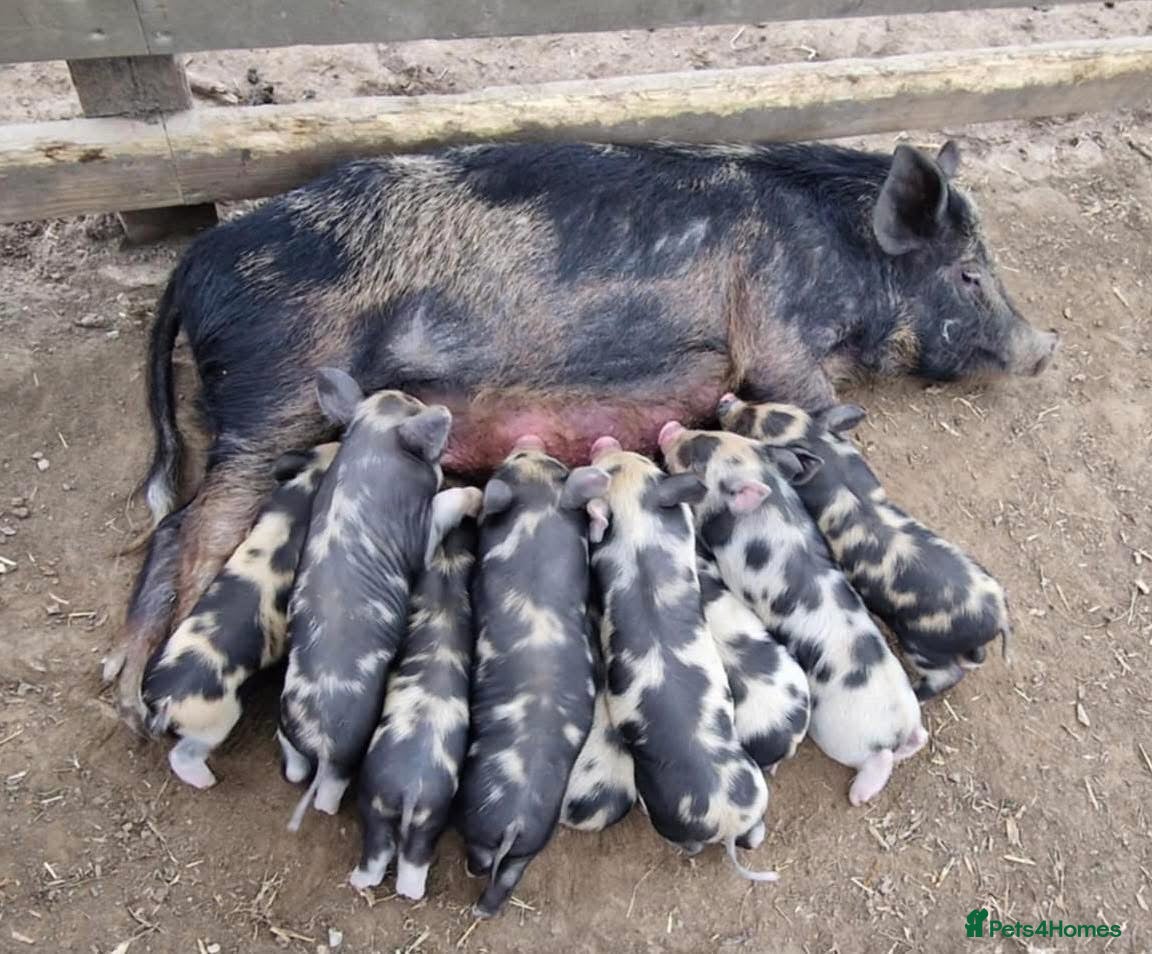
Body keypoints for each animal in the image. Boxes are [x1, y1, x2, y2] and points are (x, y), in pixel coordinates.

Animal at [142, 442, 339, 789]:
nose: (338, 442)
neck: (301, 496)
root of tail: (163, 705)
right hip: (217, 720)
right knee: (184, 754)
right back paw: (207, 781)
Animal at [278, 369, 479, 829]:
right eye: (414, 404)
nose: (440, 408)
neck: (371, 445)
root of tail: (320, 738)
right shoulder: (419, 532)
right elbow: (444, 506)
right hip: (351, 745)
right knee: (327, 793)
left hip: (286, 722)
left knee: (292, 762)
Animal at [456, 437, 607, 917]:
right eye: (557, 467)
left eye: (510, 465)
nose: (529, 441)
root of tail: (515, 820)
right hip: (532, 842)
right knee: (506, 877)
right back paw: (484, 911)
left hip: (481, 824)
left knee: (482, 861)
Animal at [585, 436, 776, 879]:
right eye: (643, 462)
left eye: (617, 465)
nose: (604, 441)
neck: (637, 529)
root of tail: (724, 821)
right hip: (756, 791)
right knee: (756, 834)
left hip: (665, 812)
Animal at [717, 395, 1011, 699]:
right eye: (760, 404)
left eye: (747, 426)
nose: (726, 399)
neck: (818, 443)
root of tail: (1000, 617)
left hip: (922, 644)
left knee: (948, 674)